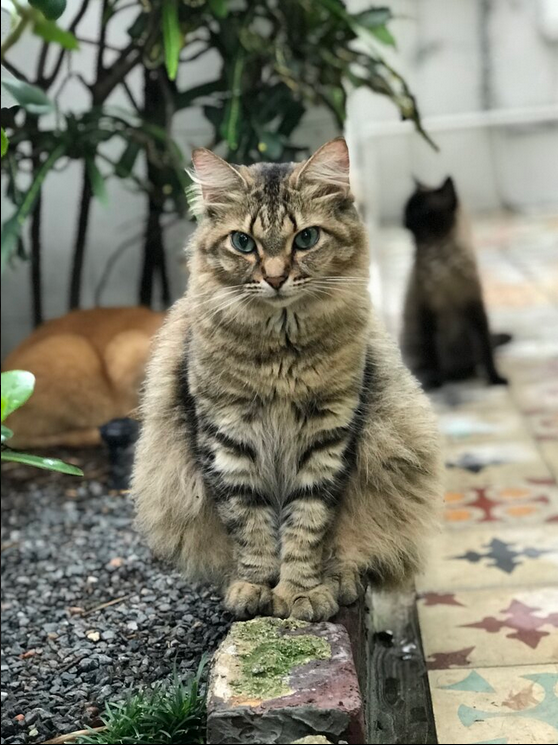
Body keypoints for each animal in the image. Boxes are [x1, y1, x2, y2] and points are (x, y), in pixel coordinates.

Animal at [133, 140, 444, 620]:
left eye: (306, 239)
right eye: (243, 243)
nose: (276, 277)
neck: (281, 356)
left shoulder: (328, 433)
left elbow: (307, 524)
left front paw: (300, 592)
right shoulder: (227, 434)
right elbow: (250, 523)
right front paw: (255, 587)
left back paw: (339, 582)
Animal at [402, 177, 512, 390]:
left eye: (420, 212)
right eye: (408, 211)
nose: (404, 221)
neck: (442, 259)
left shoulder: (474, 308)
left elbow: (487, 351)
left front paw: (495, 379)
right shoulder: (428, 313)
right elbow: (433, 355)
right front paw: (435, 383)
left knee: (479, 355)